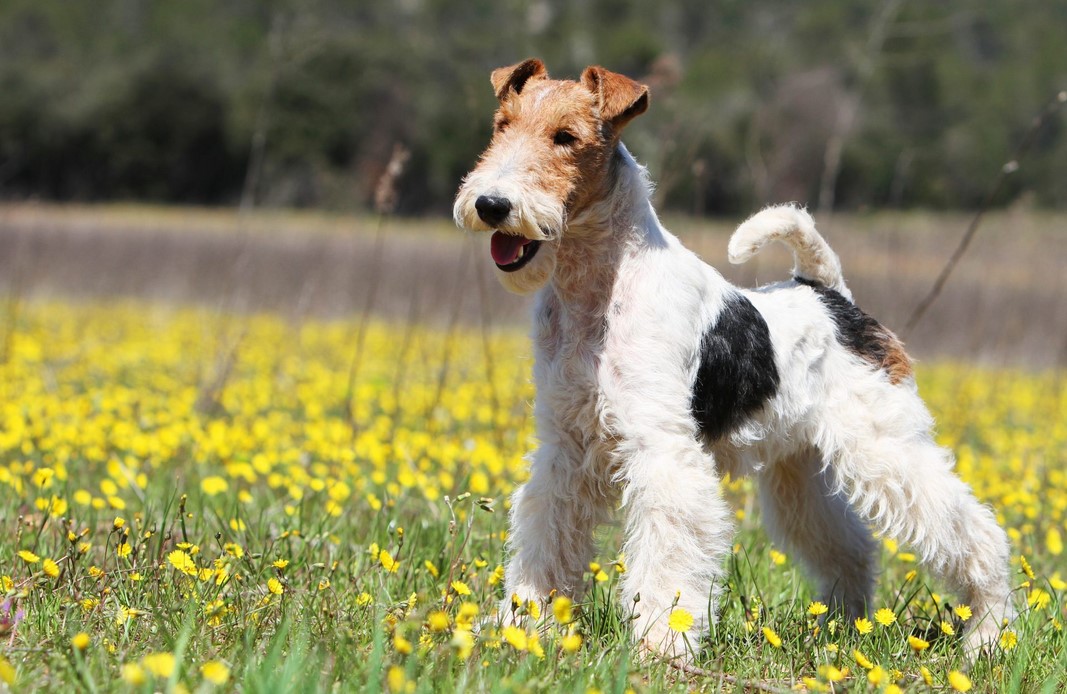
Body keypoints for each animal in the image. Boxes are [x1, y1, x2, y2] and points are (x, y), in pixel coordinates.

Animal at [452, 58, 1015, 653]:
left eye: (566, 137)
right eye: (502, 126)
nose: (491, 205)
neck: (597, 286)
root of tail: (831, 295)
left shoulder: (663, 450)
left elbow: (667, 559)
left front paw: (662, 643)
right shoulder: (564, 448)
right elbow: (547, 536)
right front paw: (523, 622)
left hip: (885, 447)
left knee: (977, 531)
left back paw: (987, 631)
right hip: (801, 473)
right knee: (851, 547)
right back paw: (842, 626)